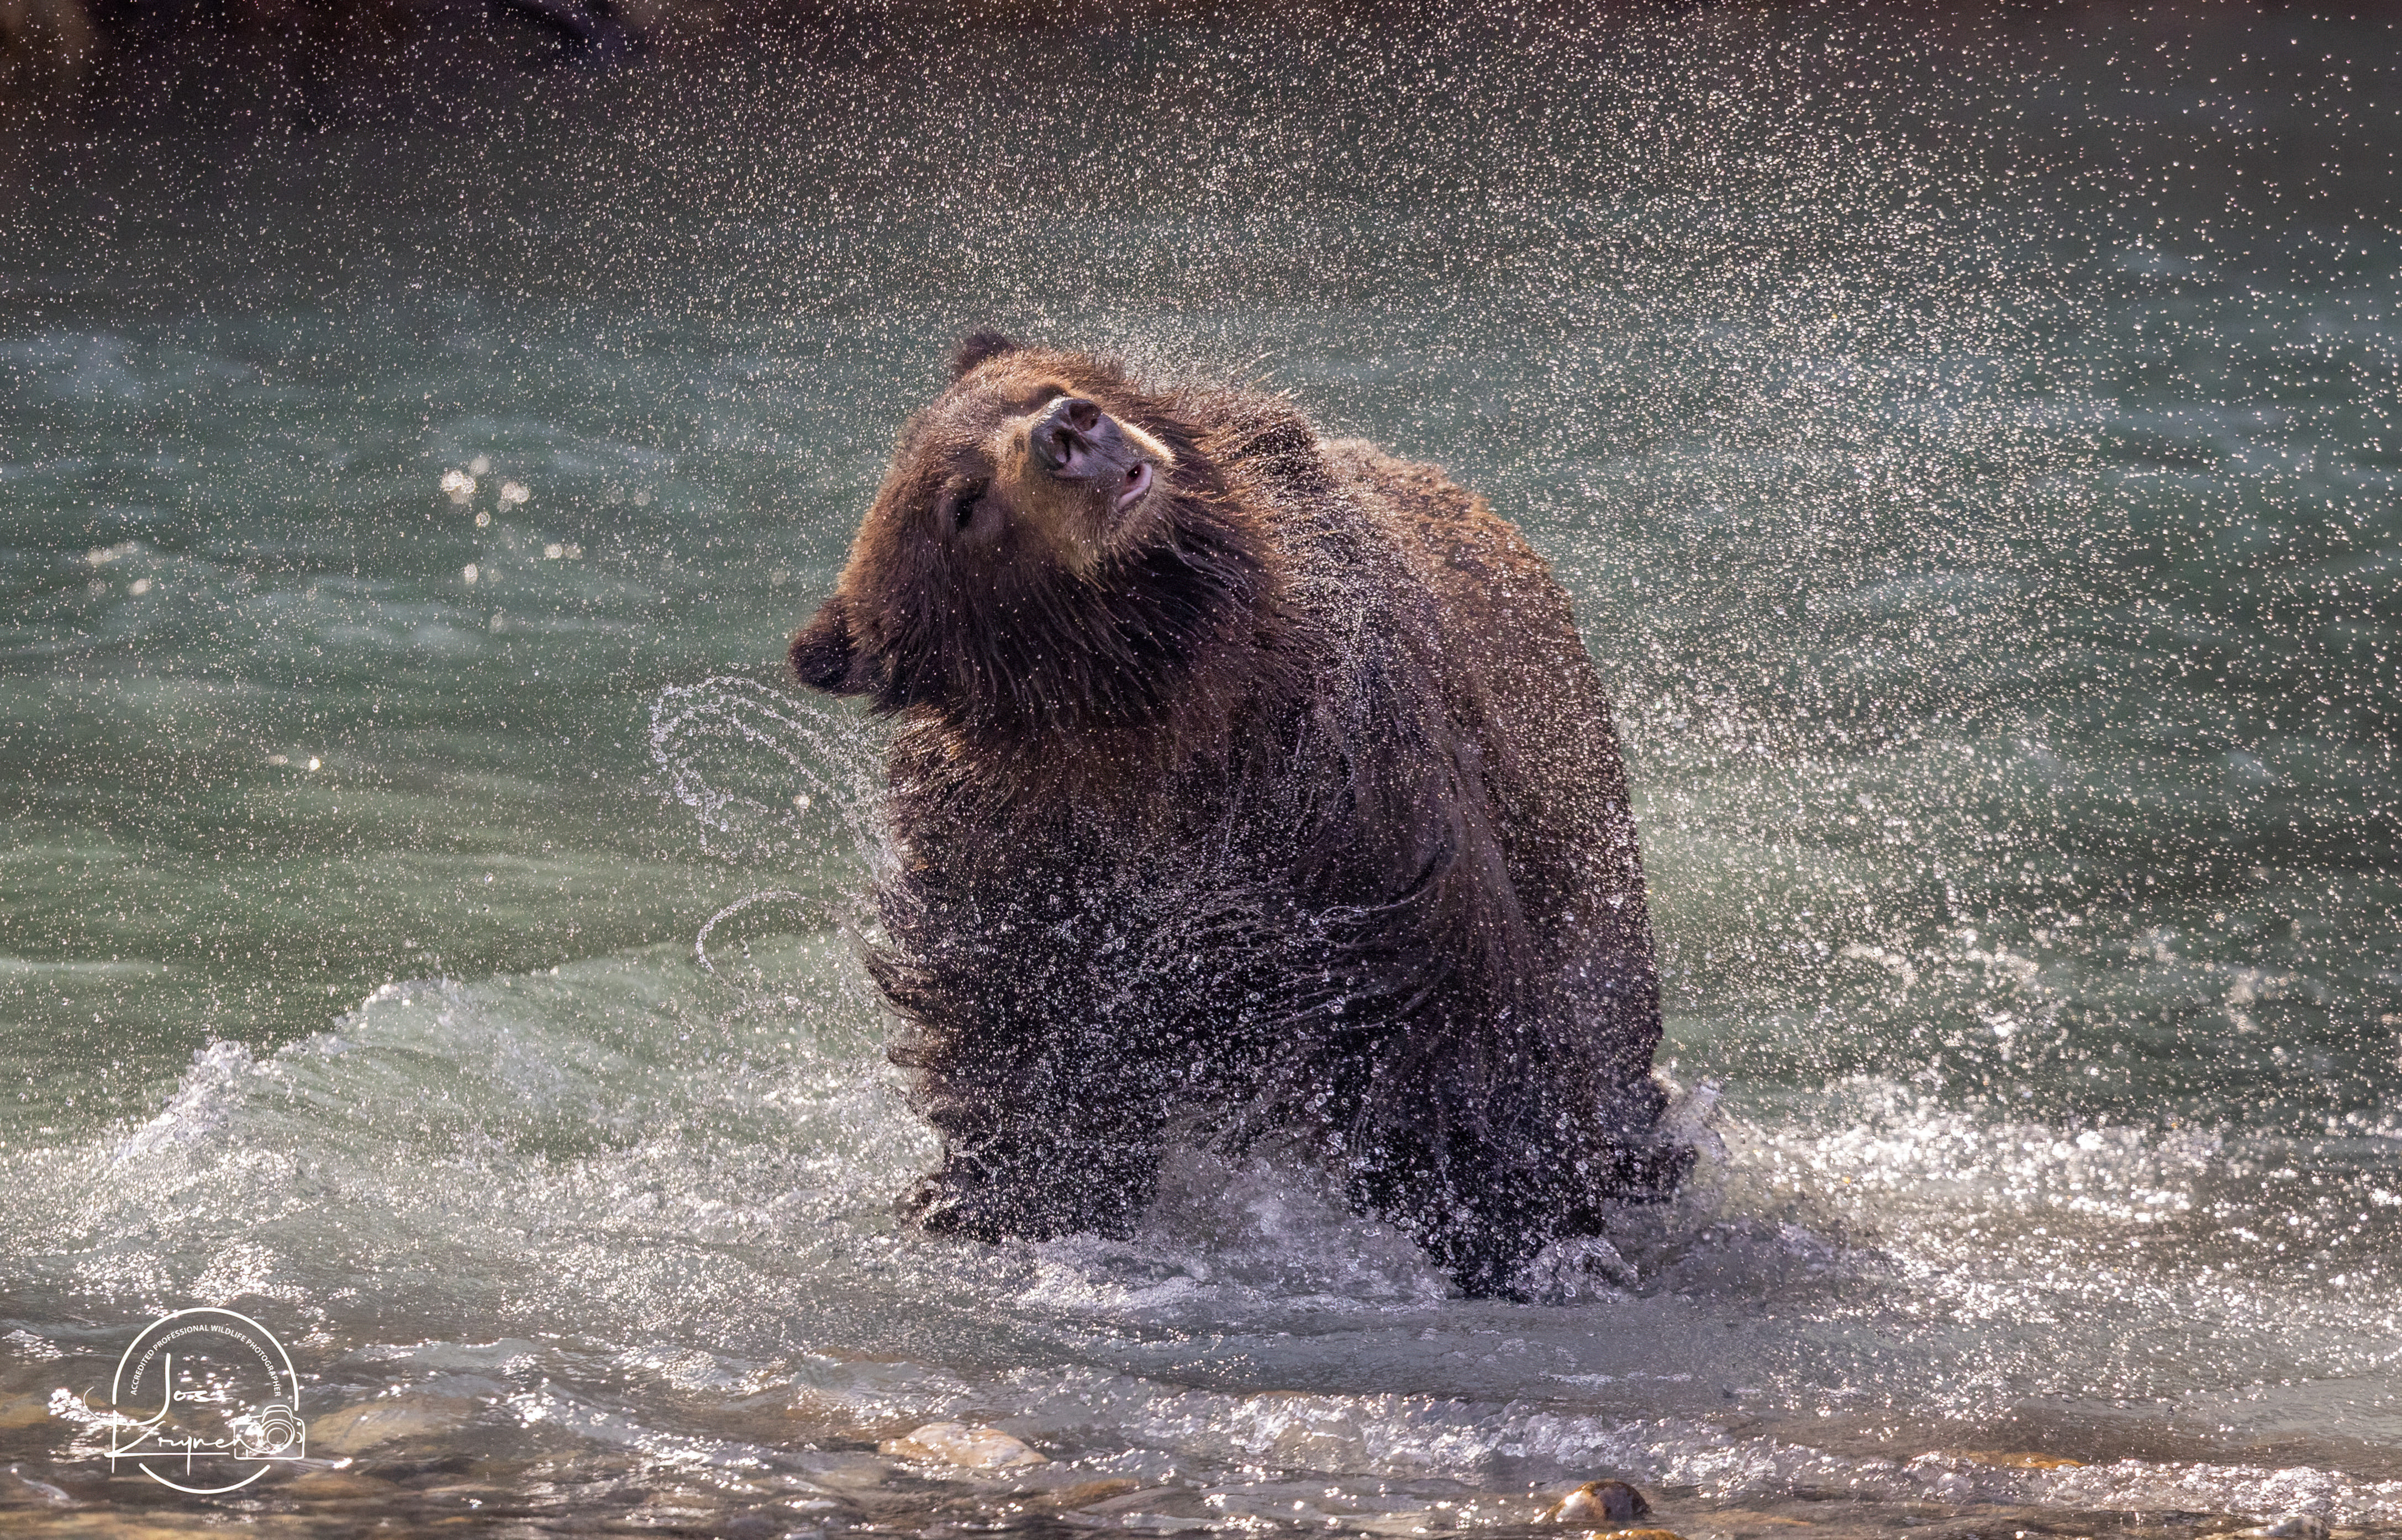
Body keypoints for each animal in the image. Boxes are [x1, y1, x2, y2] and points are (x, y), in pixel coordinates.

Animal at [790, 331, 1688, 1298]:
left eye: (1047, 385)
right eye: (964, 502)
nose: (1070, 430)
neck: (1161, 700)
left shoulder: (1344, 788)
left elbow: (1444, 1021)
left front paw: (1516, 1230)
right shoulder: (1021, 860)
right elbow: (1022, 1055)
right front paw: (1002, 1206)